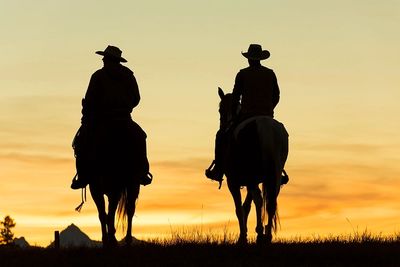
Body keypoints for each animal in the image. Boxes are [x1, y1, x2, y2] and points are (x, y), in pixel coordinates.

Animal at [73, 118, 147, 248]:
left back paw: (128, 240)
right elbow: (103, 215)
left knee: (130, 210)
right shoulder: (95, 189)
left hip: (133, 185)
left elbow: (111, 213)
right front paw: (106, 241)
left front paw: (112, 240)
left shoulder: (115, 190)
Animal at [216, 88, 288, 245]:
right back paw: (267, 236)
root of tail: (266, 127)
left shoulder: (233, 181)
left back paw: (260, 234)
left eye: (220, 109)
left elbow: (239, 208)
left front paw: (243, 237)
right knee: (271, 201)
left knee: (259, 199)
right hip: (274, 174)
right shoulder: (251, 180)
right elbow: (246, 206)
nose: (223, 127)